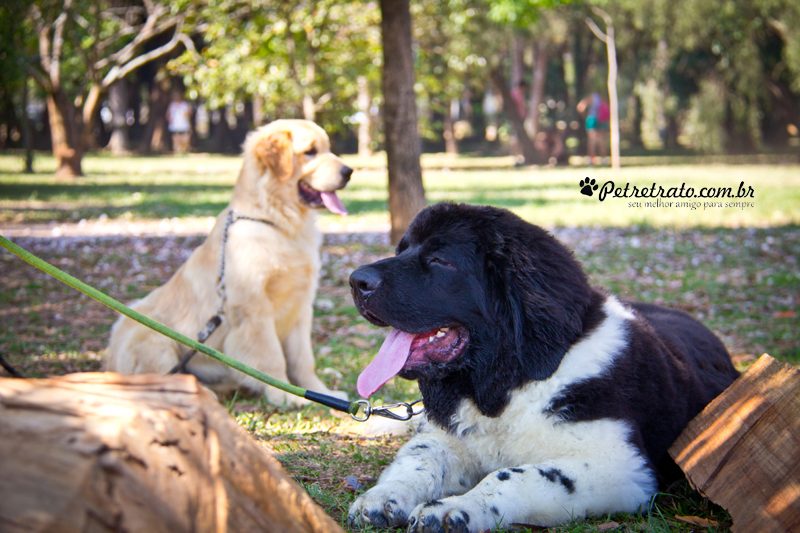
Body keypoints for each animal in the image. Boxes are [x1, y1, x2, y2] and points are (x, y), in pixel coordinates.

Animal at [346, 202, 740, 528]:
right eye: (402, 250)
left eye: (441, 260)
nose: (356, 280)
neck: (510, 383)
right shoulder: (446, 437)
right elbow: (419, 459)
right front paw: (383, 496)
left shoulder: (621, 467)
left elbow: (513, 476)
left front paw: (456, 509)